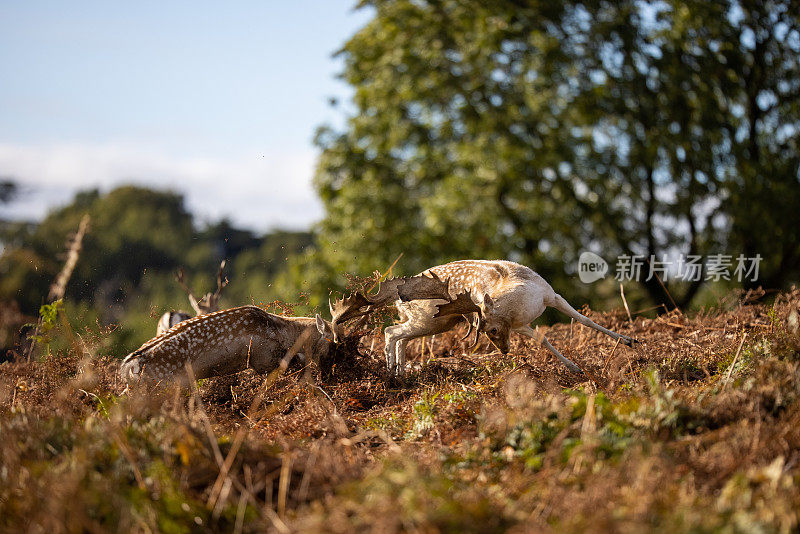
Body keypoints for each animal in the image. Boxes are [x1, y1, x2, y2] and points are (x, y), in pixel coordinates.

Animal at [332, 260, 636, 376]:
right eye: (486, 331)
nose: (504, 352)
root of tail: (396, 300)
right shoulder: (521, 323)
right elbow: (545, 339)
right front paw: (576, 368)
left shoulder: (549, 297)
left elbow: (582, 320)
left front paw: (629, 340)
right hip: (432, 320)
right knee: (391, 332)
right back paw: (393, 374)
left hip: (439, 321)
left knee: (399, 335)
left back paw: (399, 373)